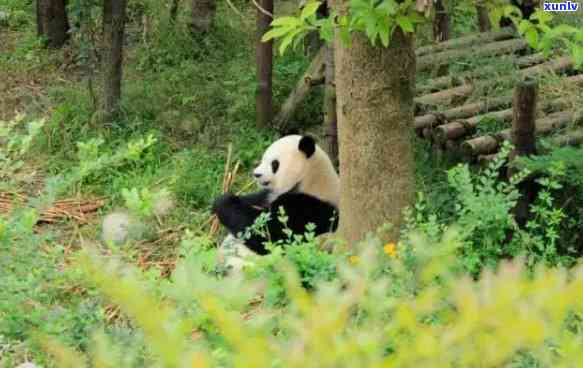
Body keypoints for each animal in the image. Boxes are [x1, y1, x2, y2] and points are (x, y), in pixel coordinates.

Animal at [213, 135, 342, 256]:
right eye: (263, 159)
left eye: (274, 163)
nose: (256, 174)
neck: (310, 178)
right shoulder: (270, 195)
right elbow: (257, 199)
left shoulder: (309, 207)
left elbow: (271, 235)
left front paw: (224, 201)